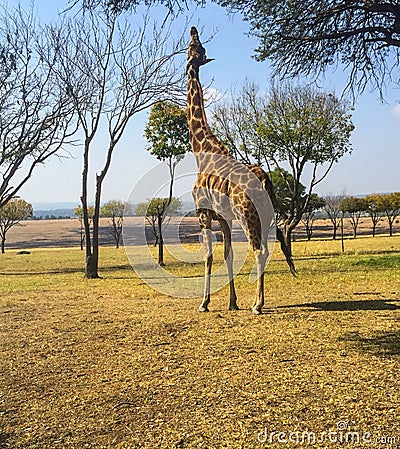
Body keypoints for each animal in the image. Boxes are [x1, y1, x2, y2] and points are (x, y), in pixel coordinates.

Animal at [187, 26, 294, 314]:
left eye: (195, 46)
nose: (193, 30)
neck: (201, 150)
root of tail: (265, 180)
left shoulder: (203, 212)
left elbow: (208, 256)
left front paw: (204, 303)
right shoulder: (224, 217)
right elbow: (228, 254)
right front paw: (232, 302)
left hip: (248, 216)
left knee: (259, 251)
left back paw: (258, 304)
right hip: (264, 217)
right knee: (266, 250)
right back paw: (255, 301)